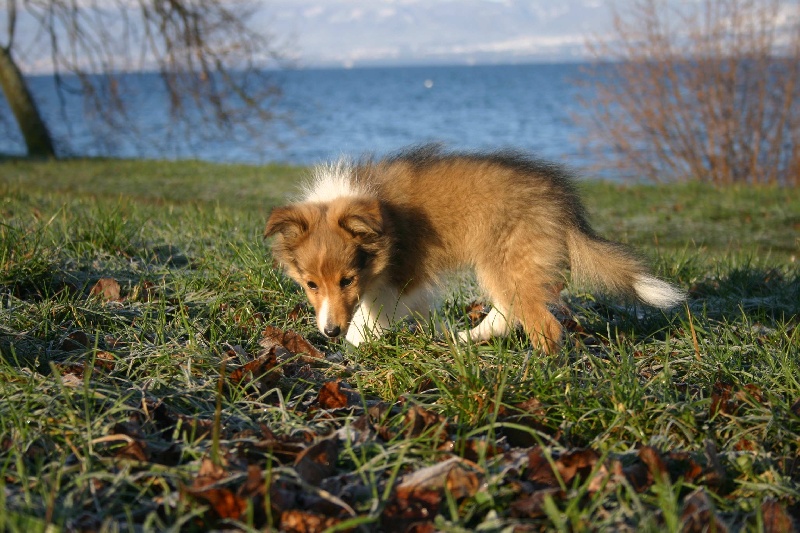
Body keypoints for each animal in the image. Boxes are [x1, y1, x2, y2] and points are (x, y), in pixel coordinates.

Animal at [266, 145, 684, 354]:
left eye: (347, 279)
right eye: (311, 284)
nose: (329, 332)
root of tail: (561, 204)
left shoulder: (402, 272)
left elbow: (372, 310)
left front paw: (355, 342)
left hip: (503, 258)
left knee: (541, 323)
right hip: (507, 266)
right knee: (509, 312)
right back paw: (464, 338)